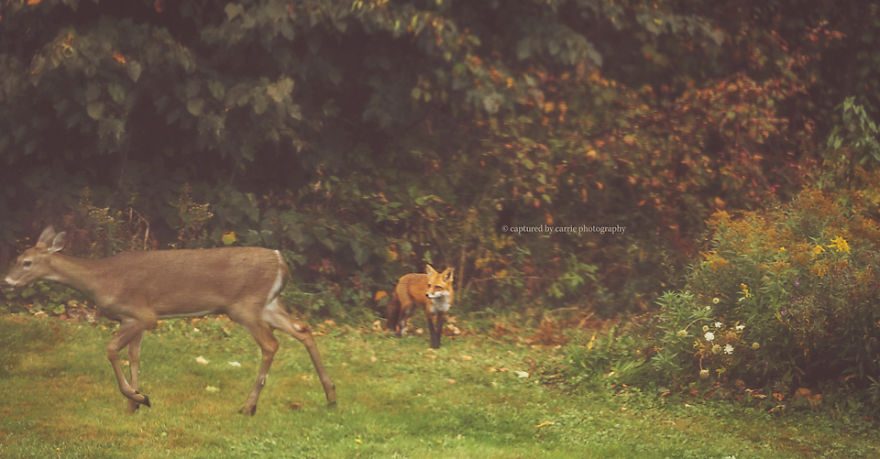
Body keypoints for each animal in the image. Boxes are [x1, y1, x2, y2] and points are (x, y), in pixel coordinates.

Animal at [1, 226, 336, 415]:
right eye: (16, 258)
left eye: (26, 262)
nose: (7, 281)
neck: (100, 280)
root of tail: (280, 260)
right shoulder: (132, 319)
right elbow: (134, 357)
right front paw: (134, 403)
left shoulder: (142, 315)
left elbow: (111, 351)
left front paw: (138, 397)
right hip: (267, 303)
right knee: (303, 330)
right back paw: (331, 397)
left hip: (245, 306)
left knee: (271, 343)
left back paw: (248, 406)